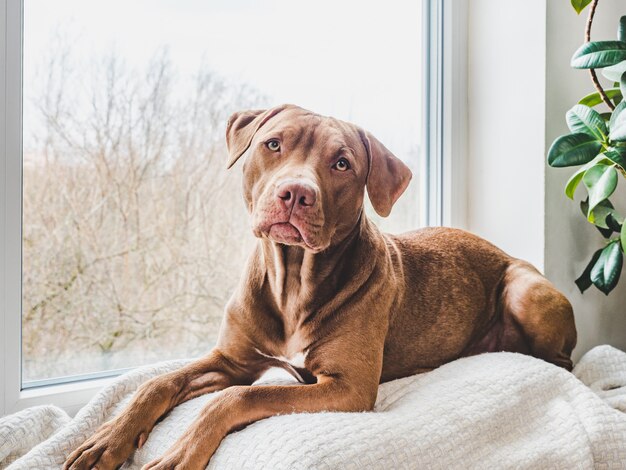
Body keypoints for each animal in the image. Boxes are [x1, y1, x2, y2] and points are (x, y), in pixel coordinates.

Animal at [63, 104, 576, 470]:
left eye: (342, 163)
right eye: (272, 144)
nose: (295, 192)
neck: (292, 279)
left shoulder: (346, 388)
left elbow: (242, 396)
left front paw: (182, 452)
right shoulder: (232, 360)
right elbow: (157, 383)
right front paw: (107, 439)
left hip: (524, 290)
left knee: (564, 360)